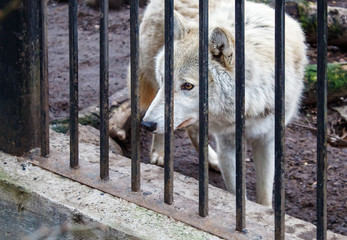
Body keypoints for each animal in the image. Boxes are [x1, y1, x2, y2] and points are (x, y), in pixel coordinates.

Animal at [136, 0, 308, 206]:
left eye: (187, 86)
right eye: (164, 78)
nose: (147, 124)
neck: (250, 107)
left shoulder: (267, 138)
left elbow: (265, 195)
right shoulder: (227, 142)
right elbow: (235, 193)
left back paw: (211, 160)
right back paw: (160, 153)